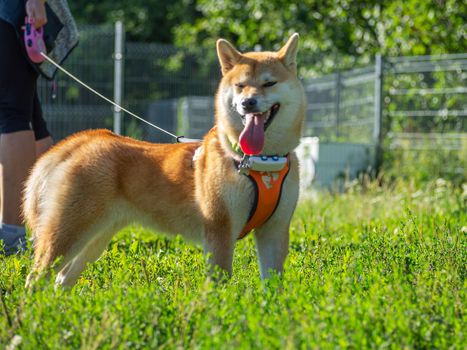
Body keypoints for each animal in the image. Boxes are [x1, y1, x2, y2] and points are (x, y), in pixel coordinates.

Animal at [23, 32, 308, 288]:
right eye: (240, 85)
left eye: (269, 84)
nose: (248, 102)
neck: (260, 161)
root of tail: (83, 139)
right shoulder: (220, 231)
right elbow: (220, 284)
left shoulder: (275, 231)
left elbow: (273, 286)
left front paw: (269, 308)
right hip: (70, 233)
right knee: (36, 278)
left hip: (97, 238)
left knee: (61, 279)